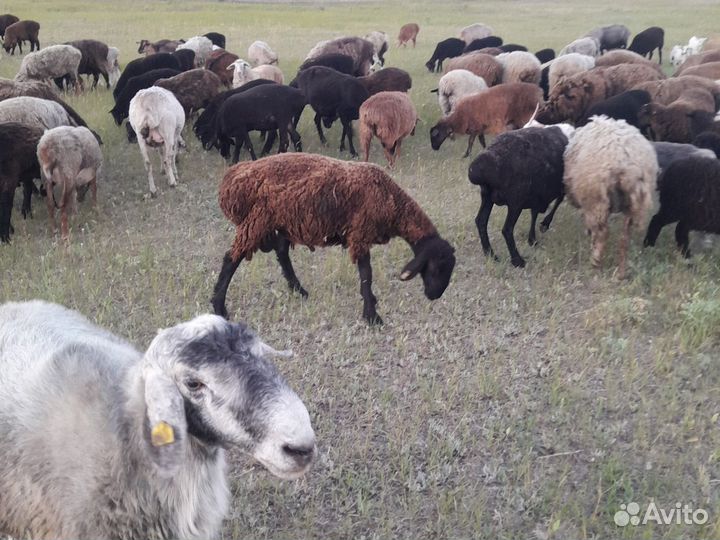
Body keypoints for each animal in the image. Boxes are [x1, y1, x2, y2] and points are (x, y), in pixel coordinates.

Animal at [211, 153, 456, 325]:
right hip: (258, 220)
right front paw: (372, 316)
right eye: (436, 267)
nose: (434, 295)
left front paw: (372, 306)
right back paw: (219, 306)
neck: (392, 200)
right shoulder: (360, 232)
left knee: (280, 252)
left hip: (282, 221)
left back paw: (299, 290)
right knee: (231, 258)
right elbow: (366, 274)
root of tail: (232, 177)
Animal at [468, 126, 569, 267]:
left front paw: (532, 239)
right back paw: (517, 260)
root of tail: (478, 169)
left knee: (481, 221)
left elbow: (534, 212)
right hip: (516, 200)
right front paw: (544, 225)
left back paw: (491, 255)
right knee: (507, 229)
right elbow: (558, 200)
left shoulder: (537, 192)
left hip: (487, 196)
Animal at [563, 116, 658, 278]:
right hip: (632, 203)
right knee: (625, 237)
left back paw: (595, 263)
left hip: (597, 199)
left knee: (603, 233)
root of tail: (627, 164)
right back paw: (621, 273)